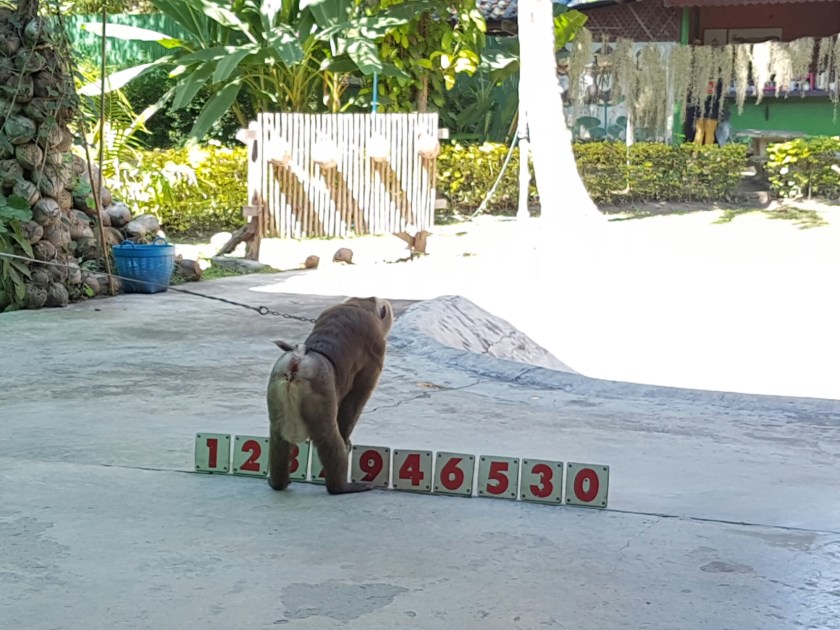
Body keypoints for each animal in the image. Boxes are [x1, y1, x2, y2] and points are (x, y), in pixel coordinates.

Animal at [266, 296, 393, 495]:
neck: (359, 304)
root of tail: (298, 360)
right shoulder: (376, 346)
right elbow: (356, 400)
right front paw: (346, 439)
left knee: (278, 440)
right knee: (329, 439)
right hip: (319, 397)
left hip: (275, 389)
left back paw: (278, 483)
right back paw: (341, 487)